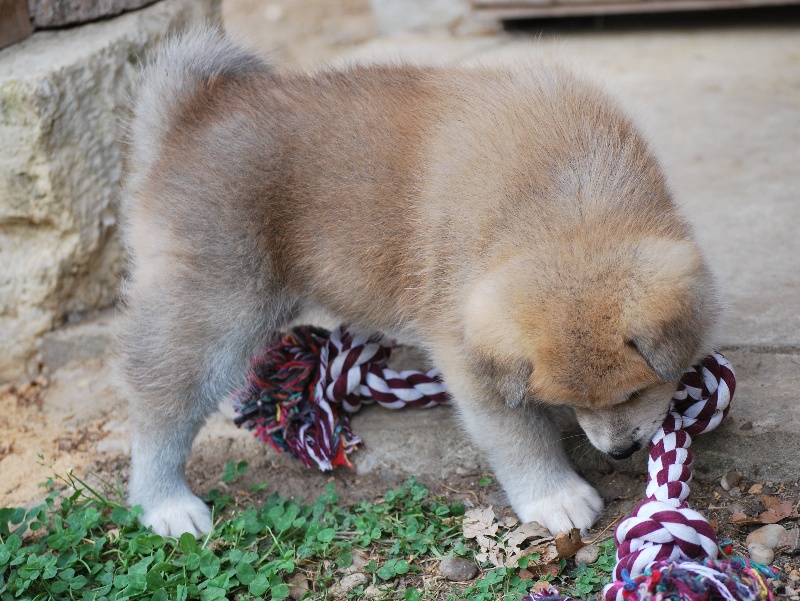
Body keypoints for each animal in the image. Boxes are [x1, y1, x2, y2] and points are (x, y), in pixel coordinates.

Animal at [117, 26, 720, 537]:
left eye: (636, 391)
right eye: (574, 400)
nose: (620, 452)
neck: (569, 207)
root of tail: (189, 119)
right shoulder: (470, 357)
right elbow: (521, 436)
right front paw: (555, 497)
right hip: (218, 310)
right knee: (158, 406)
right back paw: (167, 504)